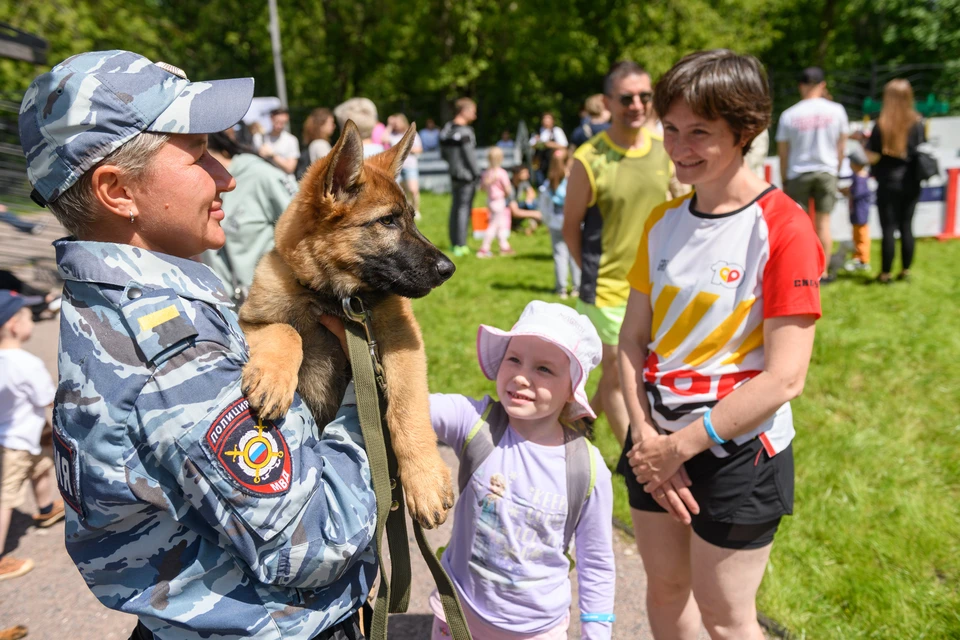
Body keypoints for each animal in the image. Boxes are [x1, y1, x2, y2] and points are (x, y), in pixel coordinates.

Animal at [235, 122, 454, 528]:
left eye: (412, 217)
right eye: (387, 220)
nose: (449, 269)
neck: (335, 299)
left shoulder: (403, 341)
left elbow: (406, 406)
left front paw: (425, 480)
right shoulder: (248, 321)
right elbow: (287, 330)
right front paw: (273, 379)